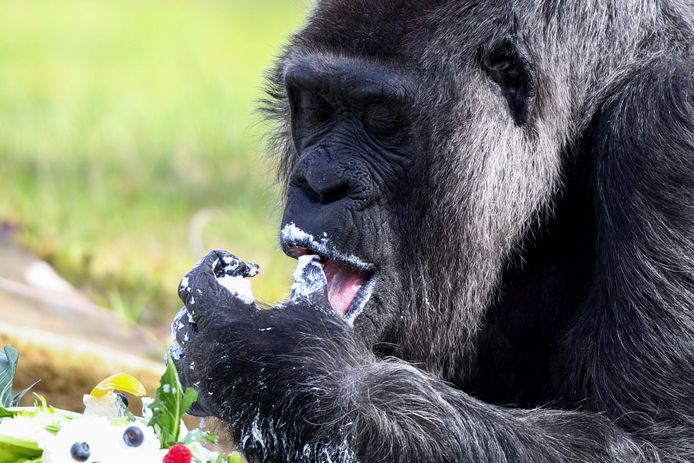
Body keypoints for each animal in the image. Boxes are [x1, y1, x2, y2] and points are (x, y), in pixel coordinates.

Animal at [171, 1, 692, 462]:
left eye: (379, 116)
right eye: (318, 106)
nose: (319, 183)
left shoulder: (667, 126)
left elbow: (656, 443)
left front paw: (272, 360)